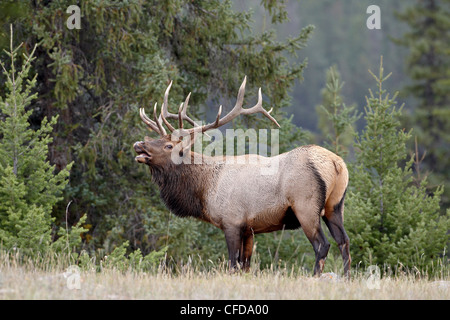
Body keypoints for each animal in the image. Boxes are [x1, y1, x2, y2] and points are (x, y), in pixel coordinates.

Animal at [134, 77, 352, 278]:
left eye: (168, 146)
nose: (139, 144)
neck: (205, 189)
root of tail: (337, 164)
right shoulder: (249, 229)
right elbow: (245, 265)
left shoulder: (232, 221)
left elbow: (233, 264)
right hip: (334, 206)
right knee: (344, 241)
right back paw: (347, 277)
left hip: (305, 205)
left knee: (322, 245)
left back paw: (315, 276)